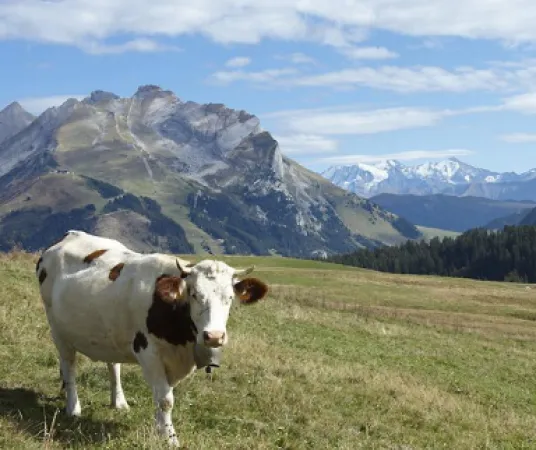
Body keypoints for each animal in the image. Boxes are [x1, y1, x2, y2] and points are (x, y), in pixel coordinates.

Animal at [36, 232, 268, 446]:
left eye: (229, 298)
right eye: (194, 294)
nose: (214, 336)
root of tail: (71, 234)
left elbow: (162, 396)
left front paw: (160, 429)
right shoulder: (148, 353)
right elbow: (165, 399)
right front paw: (170, 438)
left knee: (113, 365)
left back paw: (119, 402)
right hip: (58, 329)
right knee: (69, 367)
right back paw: (73, 407)